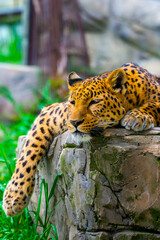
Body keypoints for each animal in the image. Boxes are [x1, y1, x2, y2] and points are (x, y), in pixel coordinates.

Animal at [2, 62, 160, 216]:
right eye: (72, 103)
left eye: (94, 102)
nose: (74, 122)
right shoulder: (50, 113)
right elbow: (29, 151)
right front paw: (13, 197)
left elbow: (155, 105)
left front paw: (137, 116)